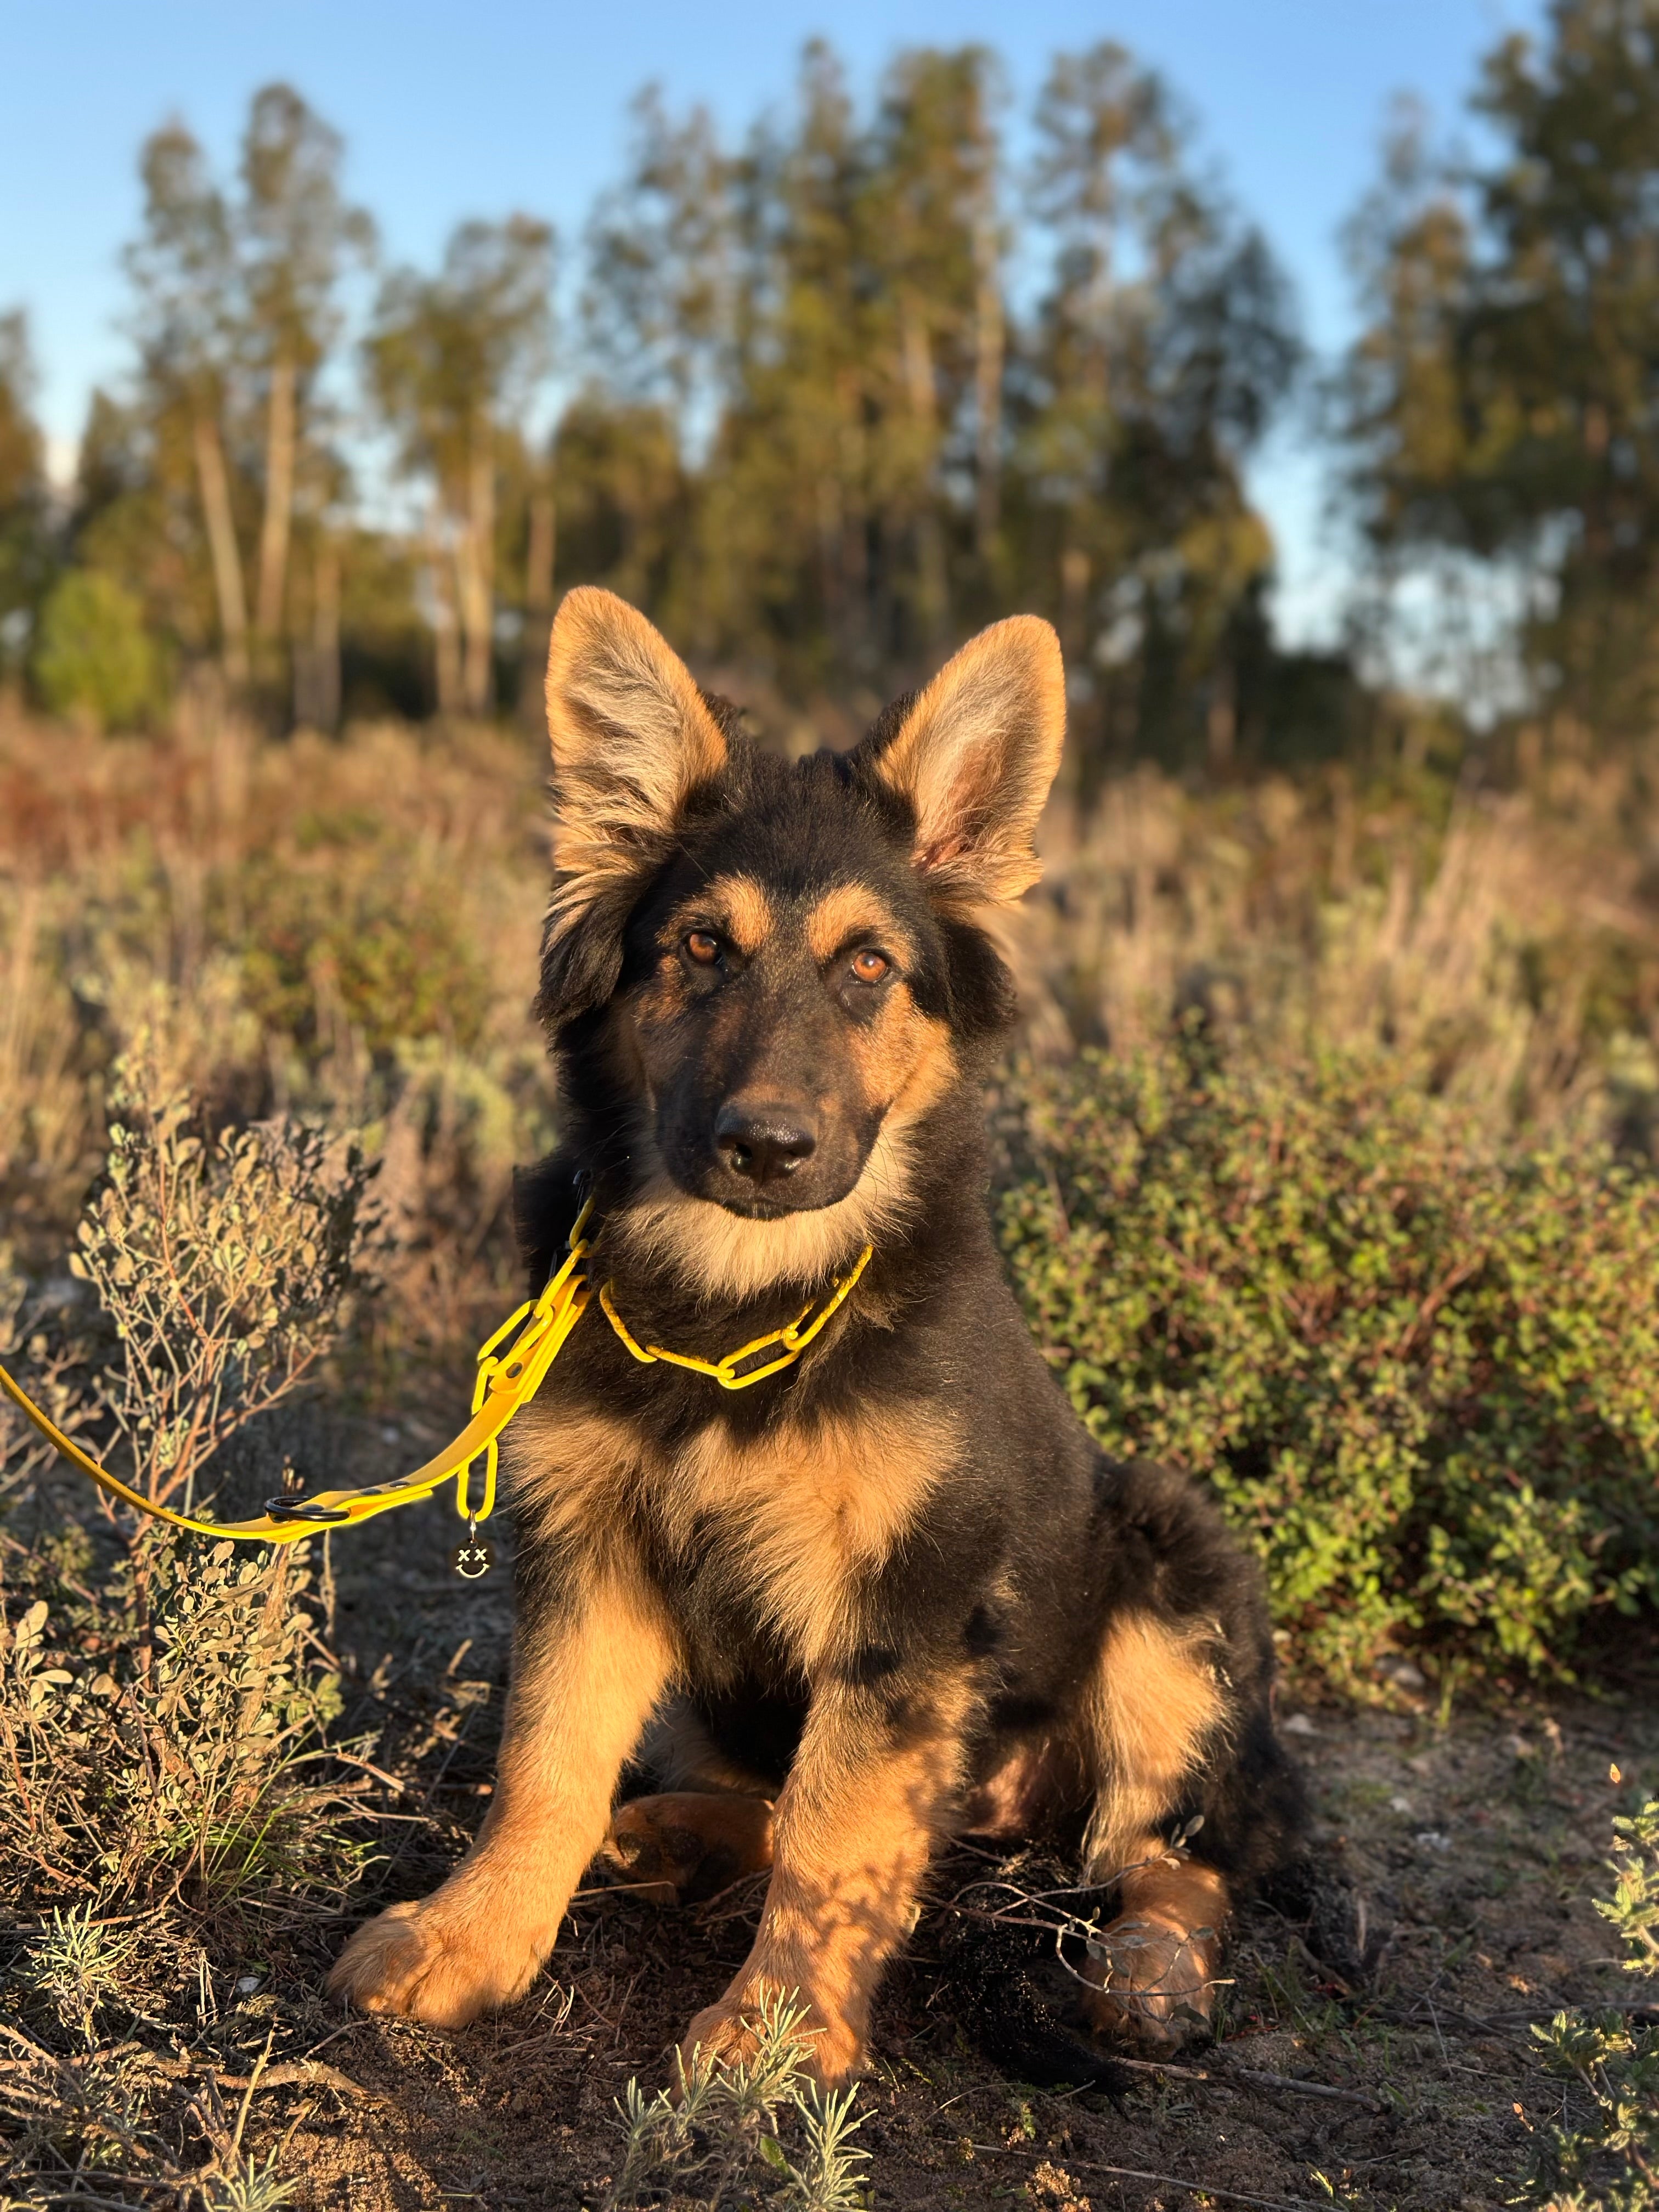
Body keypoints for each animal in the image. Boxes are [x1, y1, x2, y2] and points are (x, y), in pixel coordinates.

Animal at [331, 579, 1309, 2079]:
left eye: (868, 967)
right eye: (700, 949)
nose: (767, 1151)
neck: (743, 1305)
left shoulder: (908, 1612)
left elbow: (842, 1834)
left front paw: (777, 2034)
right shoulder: (589, 1554)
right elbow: (545, 1766)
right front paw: (471, 1939)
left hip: (1168, 1586)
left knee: (1170, 1853)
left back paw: (1145, 1970)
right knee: (771, 1797)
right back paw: (666, 1834)